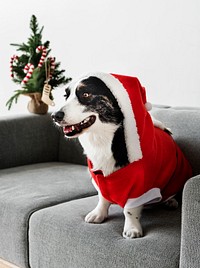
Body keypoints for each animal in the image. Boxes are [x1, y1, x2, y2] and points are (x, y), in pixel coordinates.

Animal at [52, 71, 192, 239]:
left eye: (86, 94)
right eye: (66, 96)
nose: (55, 115)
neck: (103, 140)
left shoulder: (139, 183)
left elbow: (129, 210)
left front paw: (132, 229)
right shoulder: (99, 178)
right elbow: (103, 198)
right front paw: (98, 214)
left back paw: (171, 201)